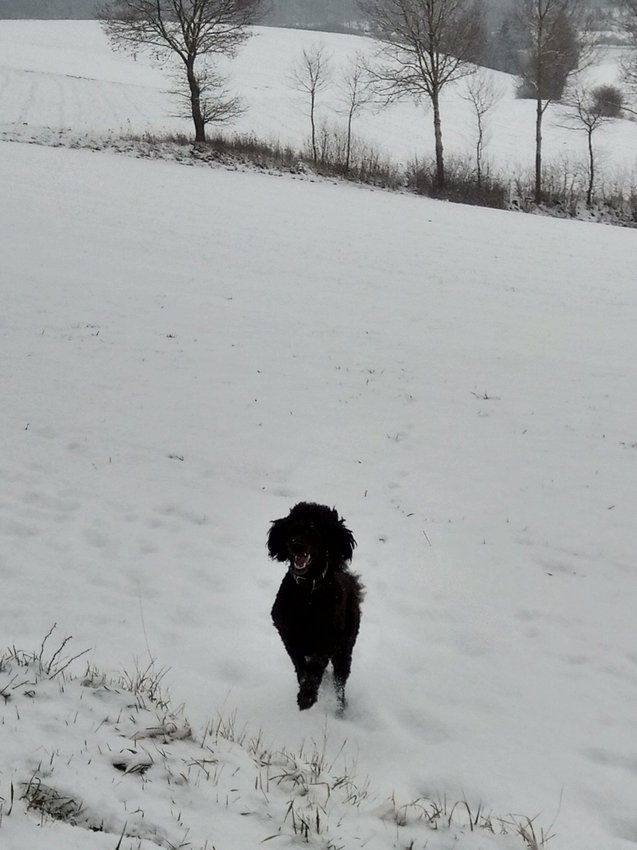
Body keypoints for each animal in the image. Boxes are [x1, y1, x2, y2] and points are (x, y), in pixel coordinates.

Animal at [266, 500, 360, 712]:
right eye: (292, 528)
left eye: (313, 529)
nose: (296, 545)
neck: (308, 593)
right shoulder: (288, 634)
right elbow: (299, 663)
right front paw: (305, 687)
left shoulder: (329, 638)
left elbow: (316, 665)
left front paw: (307, 695)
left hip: (345, 647)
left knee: (340, 682)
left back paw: (340, 710)